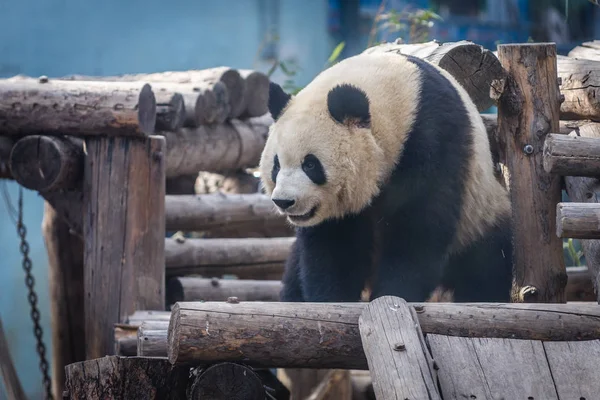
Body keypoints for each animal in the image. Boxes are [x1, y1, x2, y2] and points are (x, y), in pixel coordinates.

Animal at [260, 50, 512, 304]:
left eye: (310, 164)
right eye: (276, 165)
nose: (284, 201)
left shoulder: (434, 138)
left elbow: (418, 228)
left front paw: (394, 294)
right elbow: (332, 244)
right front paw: (332, 298)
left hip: (479, 214)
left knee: (487, 266)